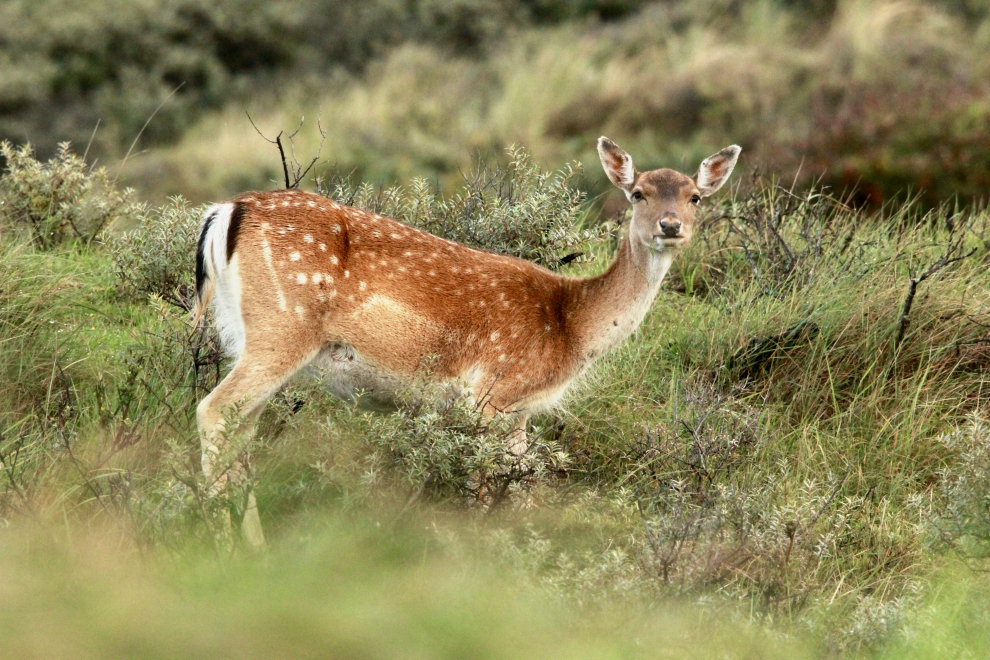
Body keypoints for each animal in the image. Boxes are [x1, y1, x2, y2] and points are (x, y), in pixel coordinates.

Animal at [192, 137, 740, 547]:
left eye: (695, 196)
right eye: (638, 193)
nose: (670, 226)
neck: (570, 326)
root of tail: (225, 212)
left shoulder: (519, 412)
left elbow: (524, 488)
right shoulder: (493, 392)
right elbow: (490, 487)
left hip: (242, 334)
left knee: (242, 429)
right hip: (283, 326)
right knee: (214, 410)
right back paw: (225, 546)